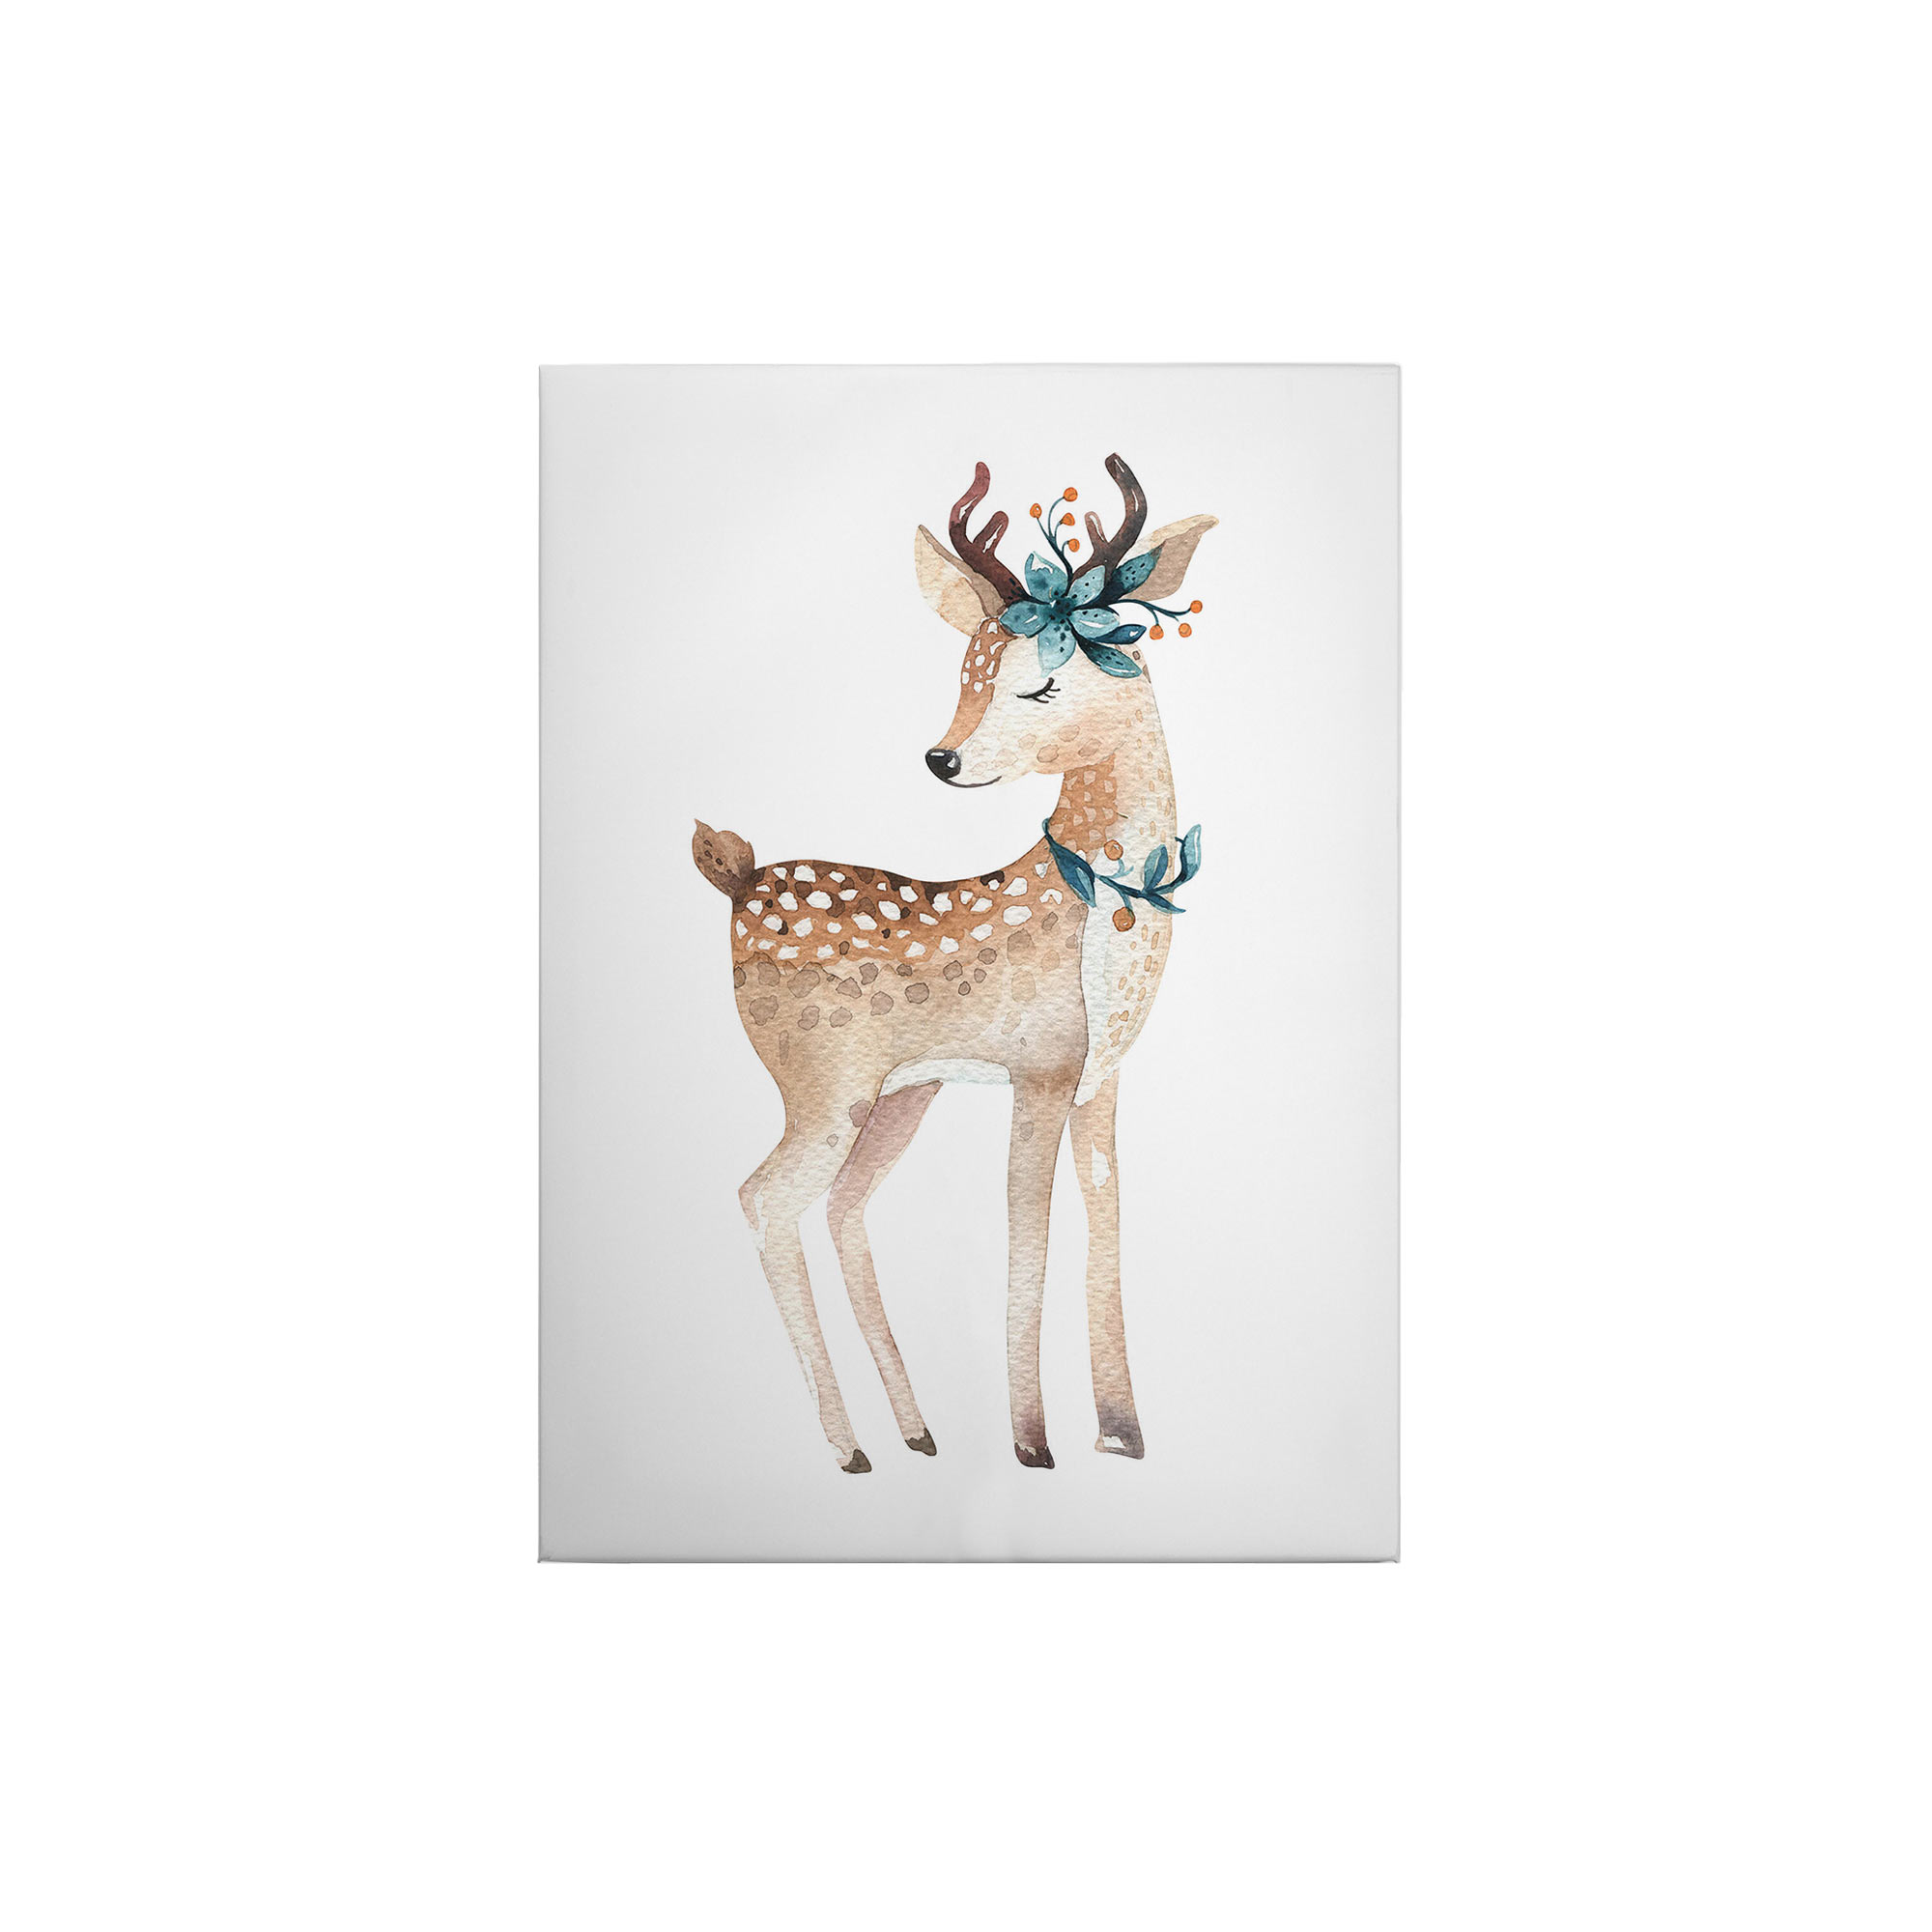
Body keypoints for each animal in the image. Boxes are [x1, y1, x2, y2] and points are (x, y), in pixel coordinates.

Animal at [691, 456, 1215, 1472]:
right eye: (966, 671)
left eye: (1041, 686)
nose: (942, 758)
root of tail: (733, 879)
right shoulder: (1041, 1066)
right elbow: (1026, 1228)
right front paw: (1032, 1444)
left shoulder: (1099, 1079)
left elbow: (1106, 1214)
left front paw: (1122, 1434)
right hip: (823, 1082)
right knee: (762, 1198)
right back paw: (850, 1449)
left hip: (901, 1093)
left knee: (842, 1206)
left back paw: (917, 1432)